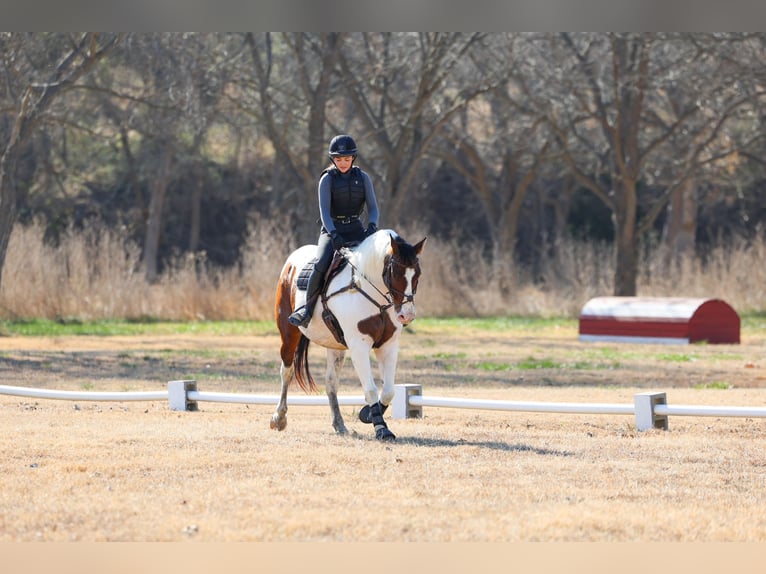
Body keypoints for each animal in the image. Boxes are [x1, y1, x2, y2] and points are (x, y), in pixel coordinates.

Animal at [272, 229, 426, 441]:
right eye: (395, 273)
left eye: (417, 274)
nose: (407, 315)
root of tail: (291, 261)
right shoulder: (359, 346)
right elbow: (371, 389)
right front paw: (381, 428)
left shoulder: (388, 345)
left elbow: (388, 391)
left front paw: (367, 414)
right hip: (289, 334)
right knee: (286, 371)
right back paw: (279, 418)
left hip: (335, 346)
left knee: (331, 383)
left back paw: (339, 424)